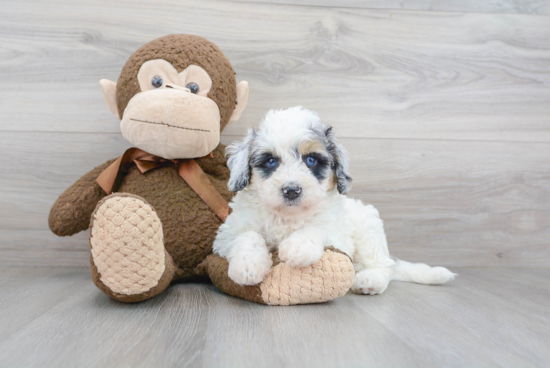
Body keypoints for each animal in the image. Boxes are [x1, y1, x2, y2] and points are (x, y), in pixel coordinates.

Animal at [216, 105, 458, 294]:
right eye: (270, 162)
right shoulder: (228, 233)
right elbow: (248, 235)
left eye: (311, 160)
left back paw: (370, 281)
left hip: (368, 227)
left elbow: (318, 228)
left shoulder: (337, 235)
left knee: (383, 265)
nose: (292, 190)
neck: (288, 216)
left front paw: (298, 246)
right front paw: (248, 266)